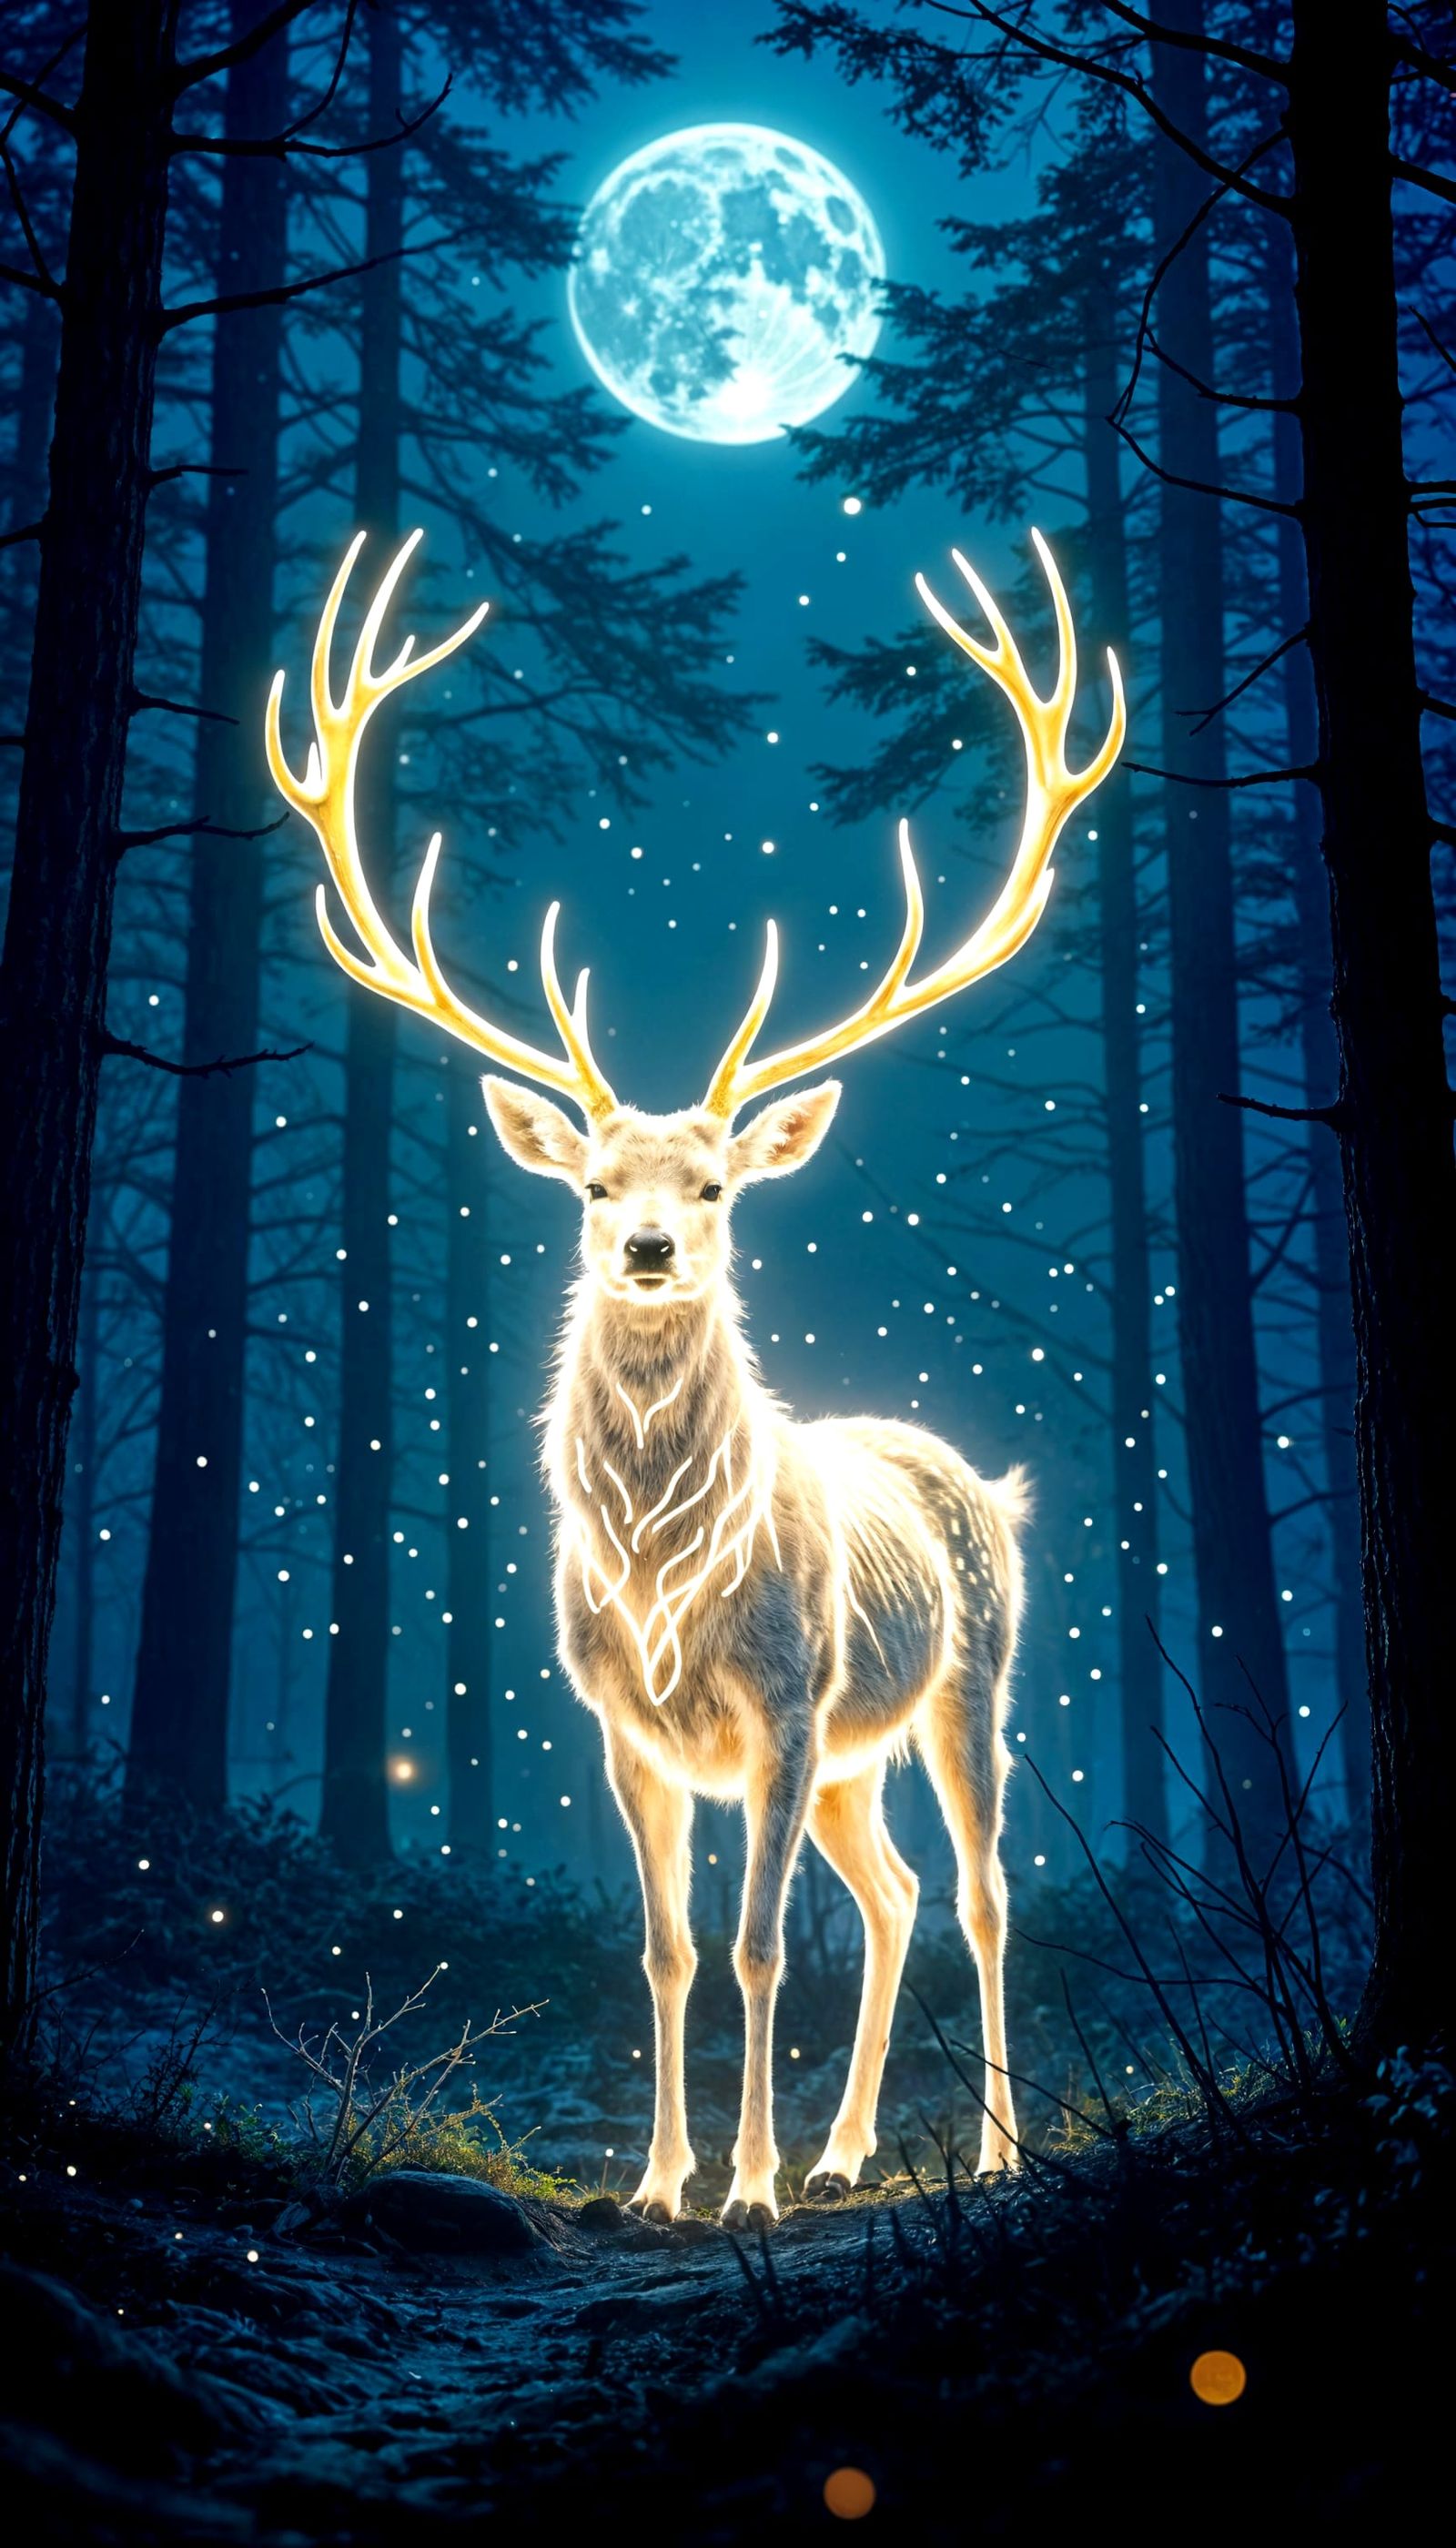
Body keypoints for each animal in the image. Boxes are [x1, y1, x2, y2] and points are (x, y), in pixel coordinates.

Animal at [265, 526, 1125, 2228]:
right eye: (595, 1184)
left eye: (719, 1183)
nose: (654, 1247)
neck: (671, 1584)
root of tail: (984, 1479)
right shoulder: (622, 1726)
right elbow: (667, 1950)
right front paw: (664, 2183)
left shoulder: (785, 1704)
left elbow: (756, 1944)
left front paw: (748, 2189)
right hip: (859, 1756)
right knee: (899, 1890)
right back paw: (853, 2149)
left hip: (965, 1683)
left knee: (984, 1891)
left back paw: (988, 2153)